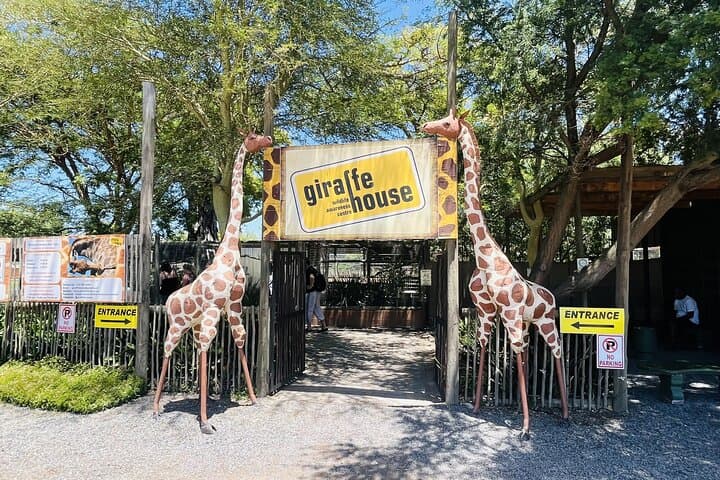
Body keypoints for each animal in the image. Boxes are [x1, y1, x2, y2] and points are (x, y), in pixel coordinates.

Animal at [153, 131, 272, 434]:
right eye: (252, 136)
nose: (267, 139)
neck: (228, 254)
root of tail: (168, 300)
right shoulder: (213, 310)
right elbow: (211, 345)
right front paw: (206, 423)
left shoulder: (233, 306)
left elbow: (240, 339)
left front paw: (254, 399)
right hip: (177, 324)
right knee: (168, 350)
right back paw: (157, 408)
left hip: (192, 325)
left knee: (196, 349)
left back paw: (197, 399)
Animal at [421, 109, 569, 439]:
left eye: (447, 122)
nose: (426, 125)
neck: (486, 254)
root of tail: (552, 297)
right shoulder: (487, 312)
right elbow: (484, 348)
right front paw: (477, 407)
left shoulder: (509, 314)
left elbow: (512, 355)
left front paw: (525, 429)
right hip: (529, 324)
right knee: (533, 354)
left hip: (545, 322)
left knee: (556, 352)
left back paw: (564, 414)